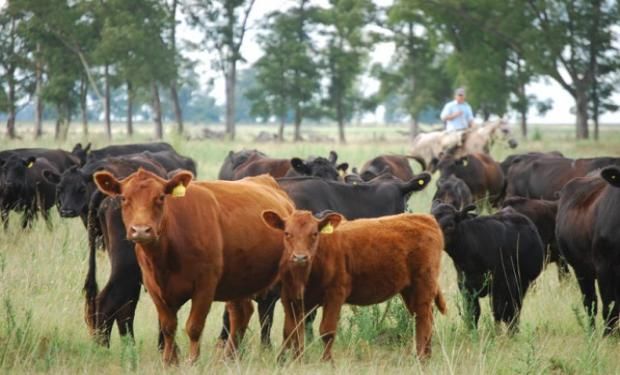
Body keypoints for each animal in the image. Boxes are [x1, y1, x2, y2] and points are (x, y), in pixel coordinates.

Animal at [94, 171, 294, 368]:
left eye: (161, 197)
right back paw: (228, 358)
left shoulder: (205, 286)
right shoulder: (153, 287)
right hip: (239, 281)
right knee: (241, 313)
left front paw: (192, 361)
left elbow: (194, 326)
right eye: (124, 198)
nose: (141, 230)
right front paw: (169, 361)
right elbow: (168, 326)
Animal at [262, 212, 446, 362]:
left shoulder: (335, 294)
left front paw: (327, 362)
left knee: (424, 320)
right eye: (287, 233)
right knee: (423, 317)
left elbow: (327, 331)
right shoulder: (289, 298)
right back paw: (426, 355)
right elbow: (291, 332)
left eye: (314, 234)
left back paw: (422, 358)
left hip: (423, 284)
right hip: (409, 290)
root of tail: (424, 218)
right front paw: (294, 360)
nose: (300, 257)